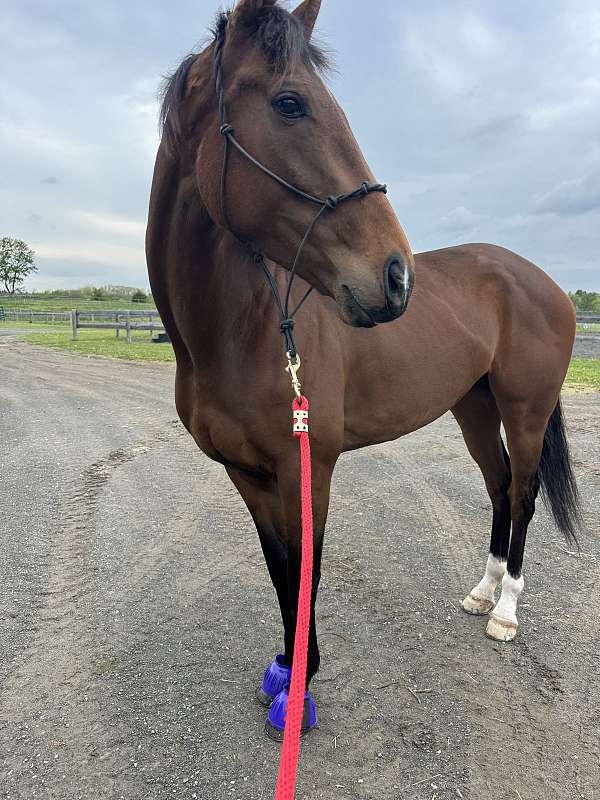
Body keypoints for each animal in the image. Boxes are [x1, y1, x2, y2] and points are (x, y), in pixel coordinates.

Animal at [146, 0, 580, 734]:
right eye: (290, 103)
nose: (397, 277)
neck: (244, 328)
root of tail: (542, 280)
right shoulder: (247, 474)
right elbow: (279, 567)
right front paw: (286, 667)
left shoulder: (308, 465)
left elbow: (306, 568)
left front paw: (302, 683)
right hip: (473, 405)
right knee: (497, 488)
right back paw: (481, 591)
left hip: (525, 410)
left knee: (522, 495)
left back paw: (505, 611)